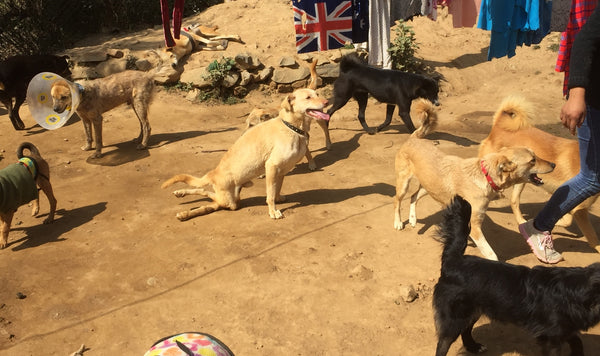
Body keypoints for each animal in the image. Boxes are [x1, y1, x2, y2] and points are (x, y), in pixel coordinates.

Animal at [162, 87, 330, 220]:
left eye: (317, 93)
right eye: (308, 97)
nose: (327, 102)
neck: (292, 128)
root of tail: (213, 174)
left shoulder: (282, 171)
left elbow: (277, 189)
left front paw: (278, 199)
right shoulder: (272, 166)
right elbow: (270, 195)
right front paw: (273, 211)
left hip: (232, 200)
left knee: (206, 195)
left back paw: (181, 199)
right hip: (228, 200)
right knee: (208, 198)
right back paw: (184, 211)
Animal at [394, 102, 552, 258]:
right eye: (532, 160)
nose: (553, 164)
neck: (484, 176)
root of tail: (413, 138)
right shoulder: (475, 227)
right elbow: (492, 254)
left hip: (430, 188)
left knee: (413, 196)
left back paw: (413, 219)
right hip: (404, 184)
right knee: (397, 201)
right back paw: (398, 222)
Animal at [434, 195, 600, 356]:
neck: (577, 291)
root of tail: (455, 259)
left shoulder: (564, 330)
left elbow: (577, 341)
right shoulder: (551, 337)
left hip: (473, 310)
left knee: (466, 330)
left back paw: (473, 347)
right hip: (456, 316)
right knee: (444, 343)